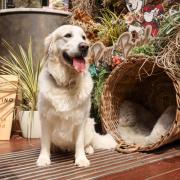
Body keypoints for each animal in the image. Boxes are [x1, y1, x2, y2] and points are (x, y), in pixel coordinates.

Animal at [36, 25, 116, 167]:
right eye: (68, 35)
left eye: (83, 37)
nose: (84, 46)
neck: (65, 84)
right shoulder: (45, 118)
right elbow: (45, 142)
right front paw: (44, 158)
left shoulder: (80, 120)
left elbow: (79, 143)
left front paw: (81, 159)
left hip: (89, 124)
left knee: (88, 143)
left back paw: (88, 149)